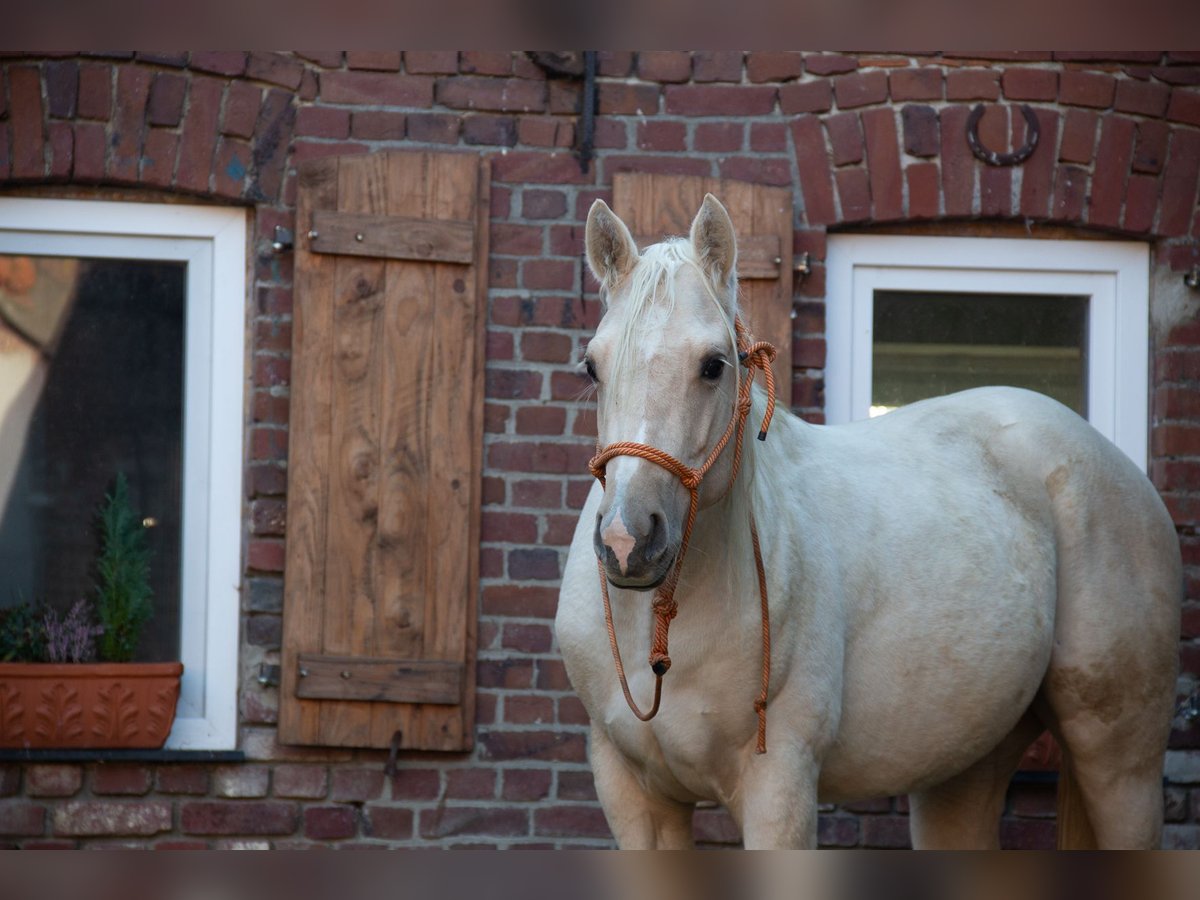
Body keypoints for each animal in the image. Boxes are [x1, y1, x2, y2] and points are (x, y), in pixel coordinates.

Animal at [556, 194, 1185, 849]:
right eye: (592, 367)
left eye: (712, 365)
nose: (628, 540)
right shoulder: (635, 797)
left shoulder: (779, 787)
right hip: (965, 764)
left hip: (1119, 761)